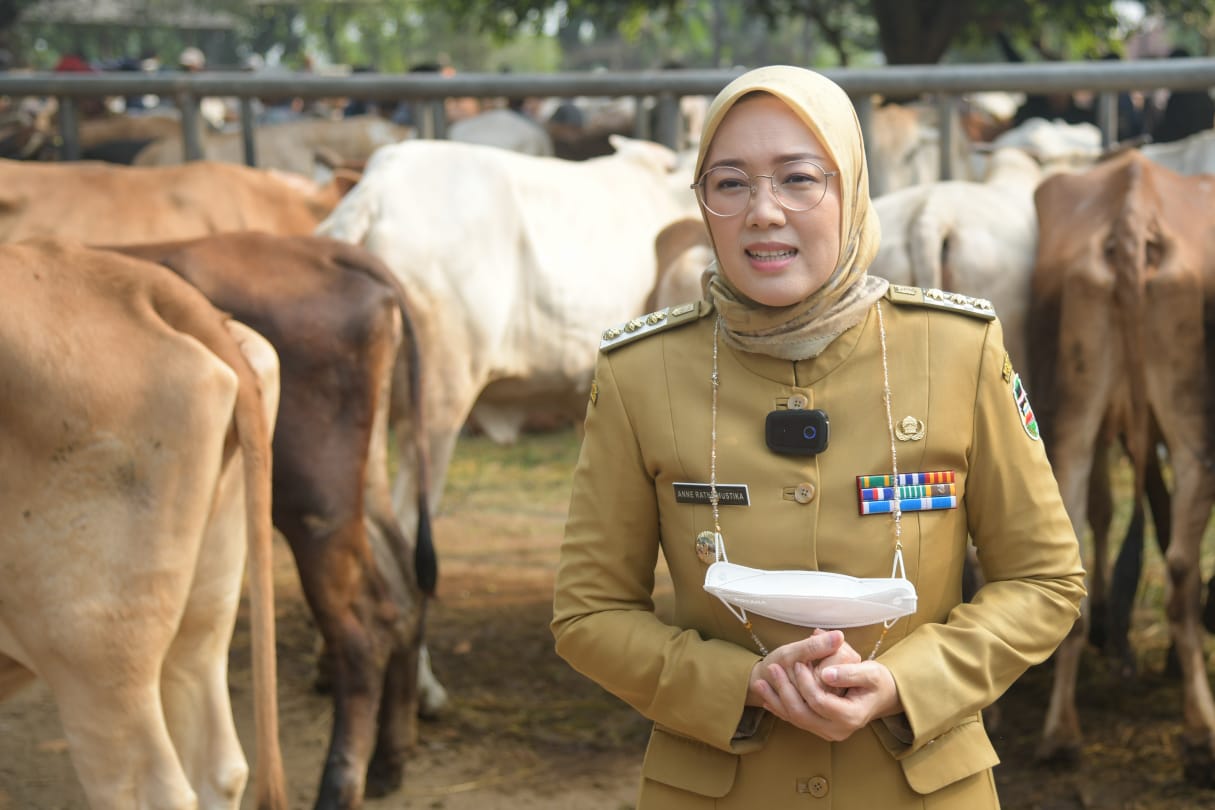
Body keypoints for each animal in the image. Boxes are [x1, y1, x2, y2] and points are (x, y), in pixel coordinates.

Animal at [112, 229, 437, 810]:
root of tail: (318, 249)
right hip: (359, 489)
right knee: (403, 582)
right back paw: (389, 761)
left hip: (315, 505)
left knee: (366, 624)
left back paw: (340, 785)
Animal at [1030, 148, 1215, 782]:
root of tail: (1134, 214)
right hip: (1182, 414)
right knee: (1180, 563)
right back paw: (1199, 728)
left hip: (1073, 419)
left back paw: (1061, 734)